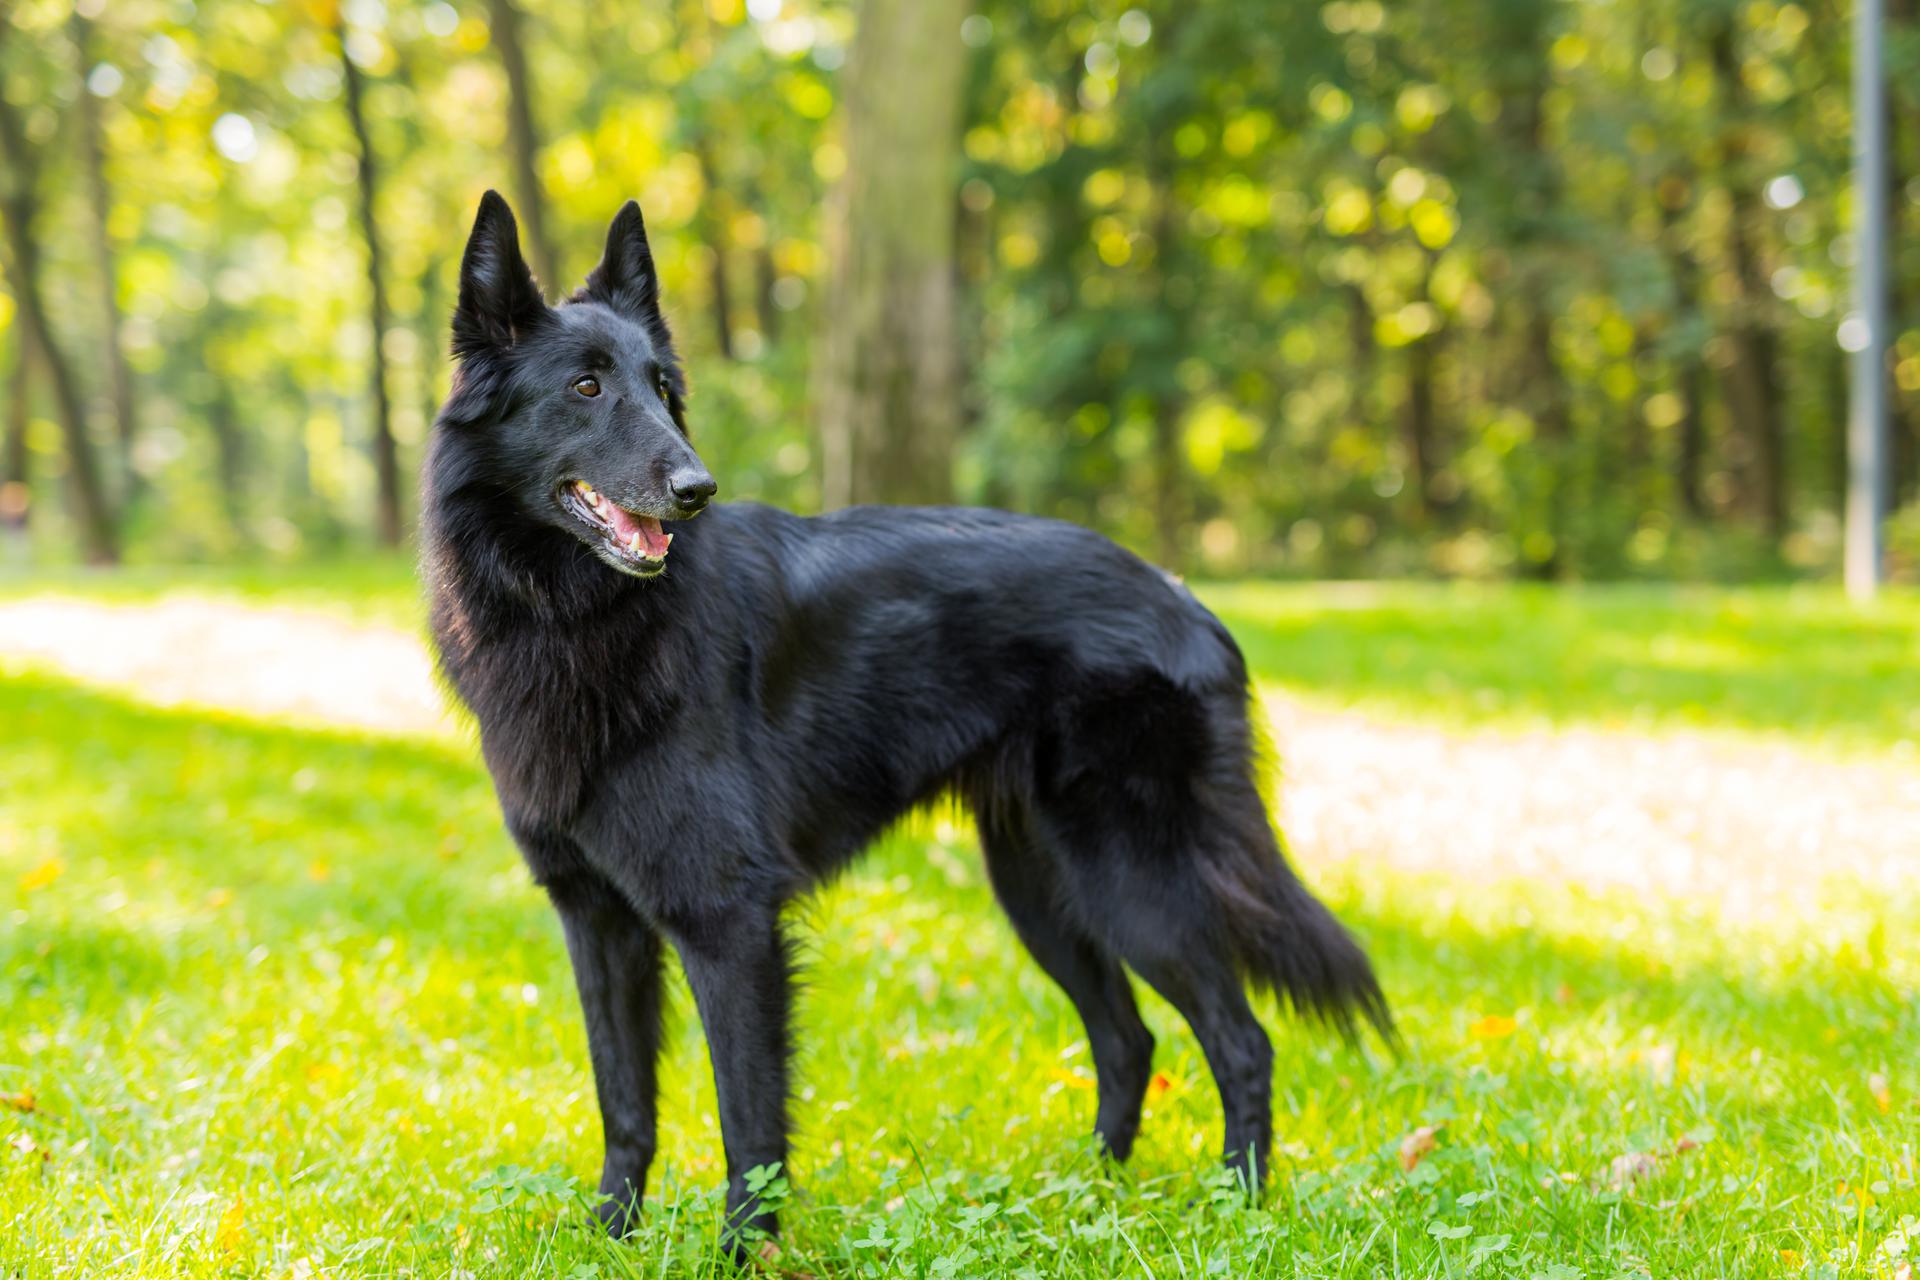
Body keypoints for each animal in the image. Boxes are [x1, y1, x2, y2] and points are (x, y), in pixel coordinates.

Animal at [424, 195, 1382, 1243]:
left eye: (662, 388)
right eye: (587, 386)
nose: (696, 490)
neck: (576, 619)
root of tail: (1182, 598)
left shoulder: (729, 925)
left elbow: (748, 1125)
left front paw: (741, 1254)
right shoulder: (597, 922)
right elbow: (624, 1101)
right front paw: (611, 1238)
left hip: (1133, 882)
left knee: (1241, 1040)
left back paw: (1238, 1208)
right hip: (1044, 892)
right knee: (1130, 1038)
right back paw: (1091, 1201)